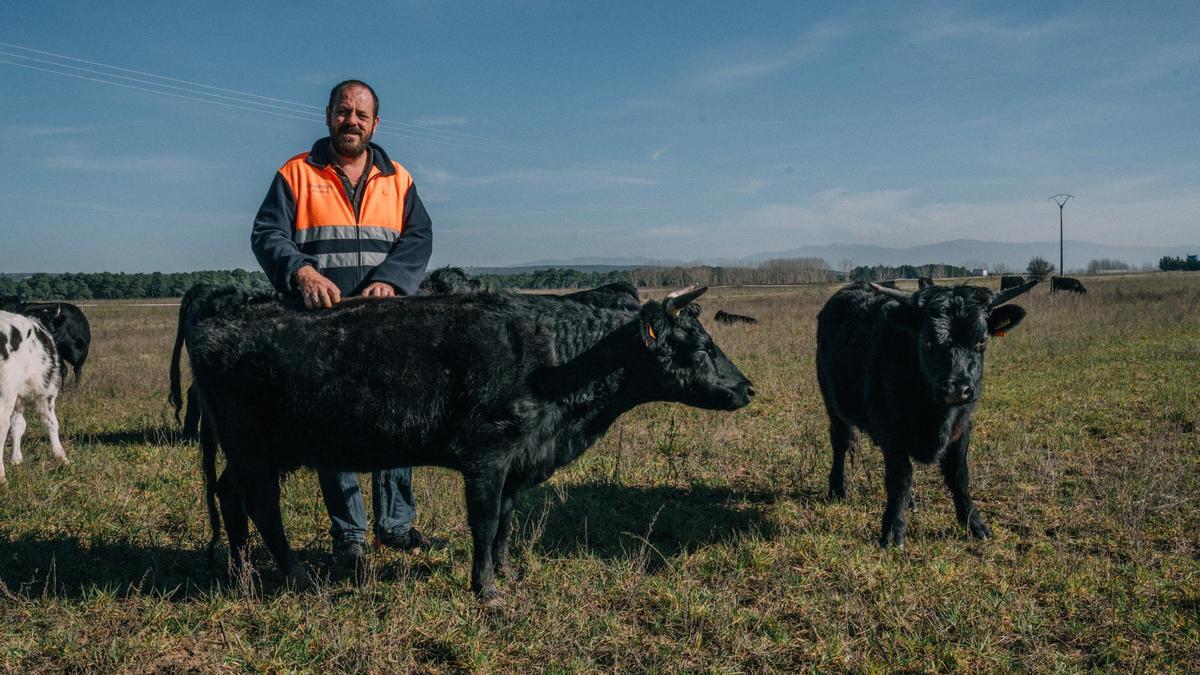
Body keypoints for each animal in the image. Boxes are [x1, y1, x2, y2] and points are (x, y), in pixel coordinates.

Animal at [0, 307, 67, 480]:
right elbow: (51, 422)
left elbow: (19, 424)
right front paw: (61, 457)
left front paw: (16, 458)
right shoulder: (46, 390)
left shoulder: (19, 396)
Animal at [171, 282, 748, 593]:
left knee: (230, 498)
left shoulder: (518, 461)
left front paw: (507, 573)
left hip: (251, 451)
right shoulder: (488, 456)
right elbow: (485, 522)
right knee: (261, 505)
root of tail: (226, 310)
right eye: (698, 347)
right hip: (253, 448)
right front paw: (485, 589)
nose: (746, 388)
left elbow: (506, 524)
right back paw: (296, 579)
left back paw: (243, 574)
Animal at [816, 278, 1041, 547]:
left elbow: (958, 476)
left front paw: (975, 524)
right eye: (927, 341)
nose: (956, 390)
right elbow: (899, 478)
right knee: (840, 442)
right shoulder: (890, 431)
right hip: (833, 404)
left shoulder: (962, 428)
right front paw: (893, 530)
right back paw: (838, 489)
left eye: (981, 341)